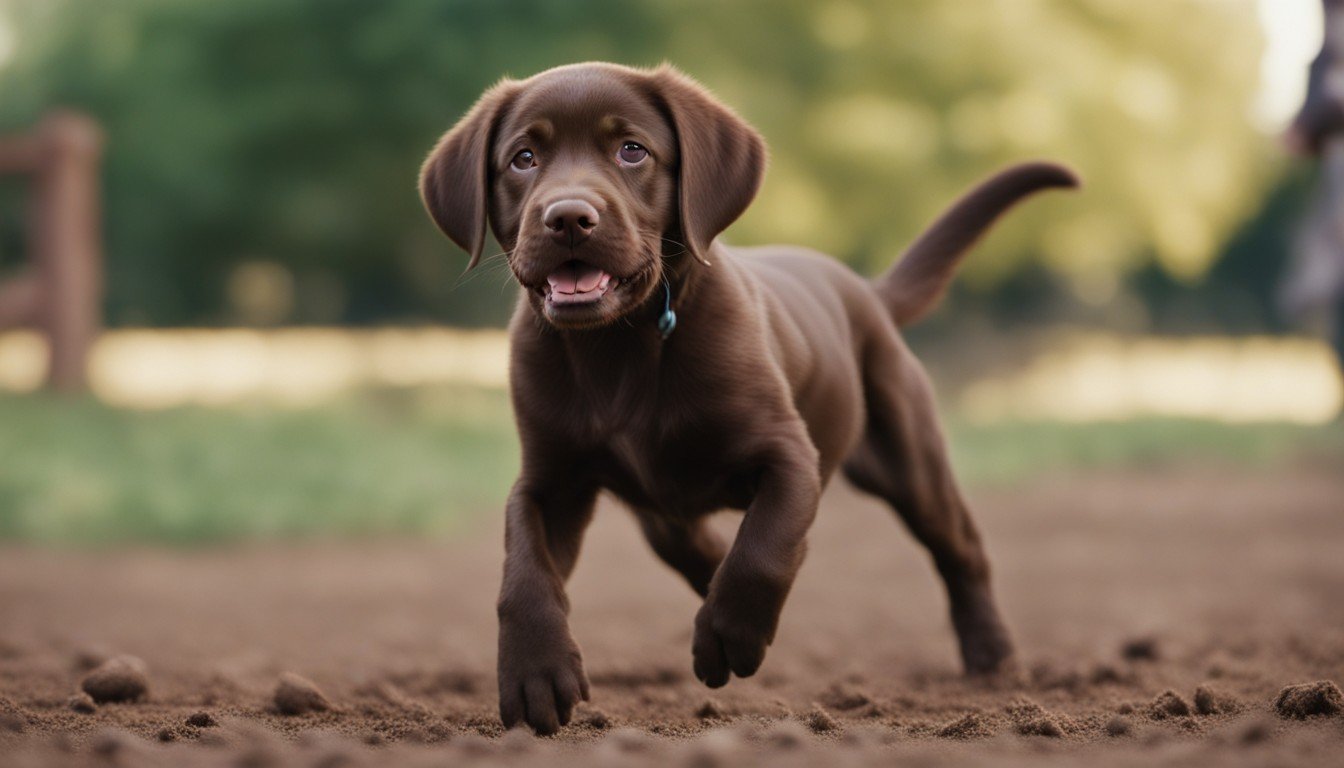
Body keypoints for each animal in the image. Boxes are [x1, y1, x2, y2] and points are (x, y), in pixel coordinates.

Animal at [413, 63, 1075, 737]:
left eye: (632, 151)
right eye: (523, 159)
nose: (568, 216)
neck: (617, 346)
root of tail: (865, 290)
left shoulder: (789, 454)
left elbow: (764, 546)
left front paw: (729, 636)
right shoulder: (551, 478)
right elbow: (523, 569)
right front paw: (535, 674)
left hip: (907, 454)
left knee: (960, 548)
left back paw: (993, 656)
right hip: (659, 506)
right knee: (687, 542)